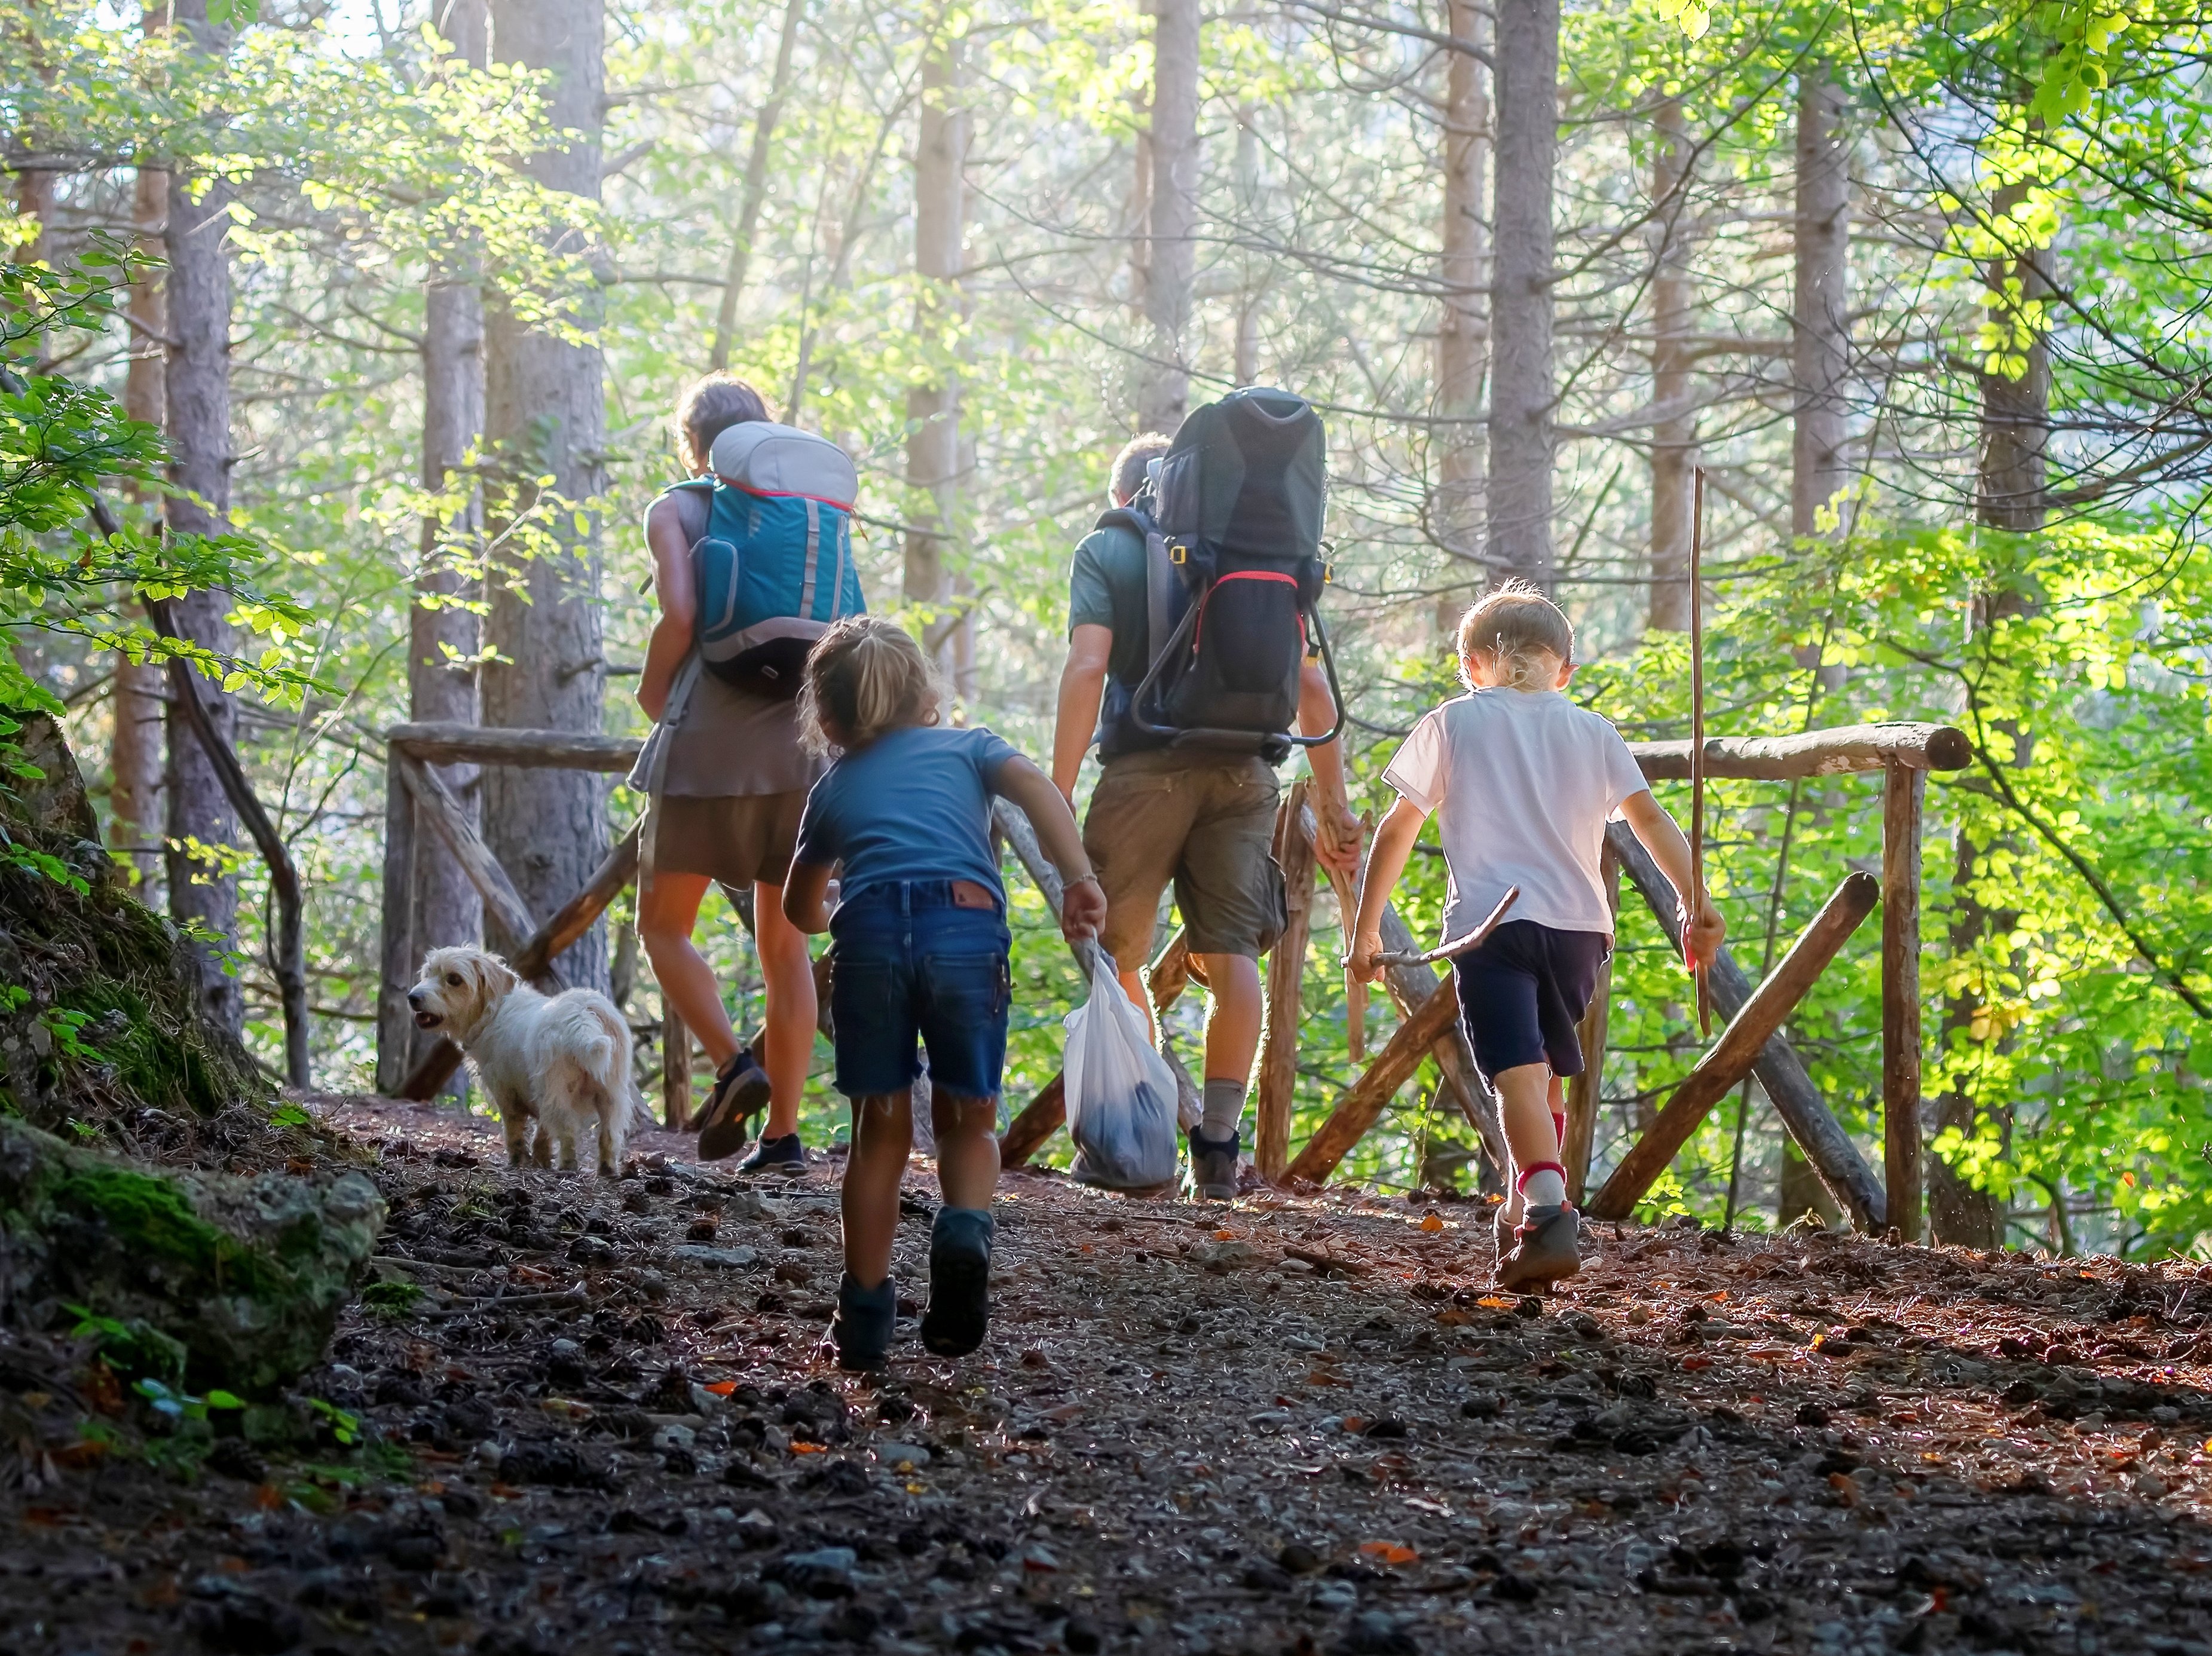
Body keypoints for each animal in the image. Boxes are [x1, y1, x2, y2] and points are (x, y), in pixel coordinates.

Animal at [406, 942, 645, 1176]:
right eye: (428, 974)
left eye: (455, 979)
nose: (412, 998)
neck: (494, 1011)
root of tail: (583, 1016)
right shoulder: (539, 1098)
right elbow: (543, 1134)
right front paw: (540, 1162)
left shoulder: (507, 1093)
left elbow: (514, 1132)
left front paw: (517, 1162)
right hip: (611, 1097)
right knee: (608, 1137)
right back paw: (607, 1170)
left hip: (560, 1093)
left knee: (568, 1133)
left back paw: (567, 1167)